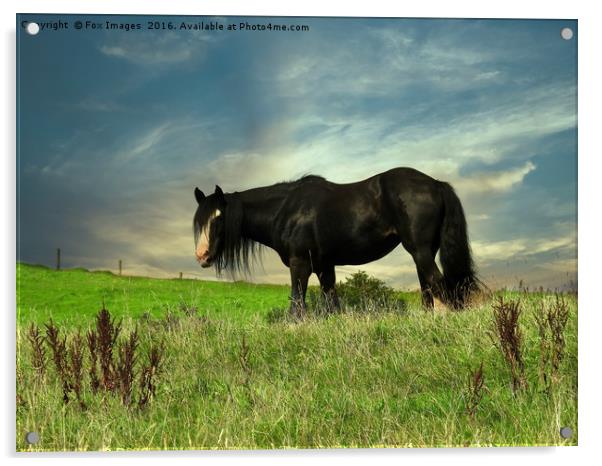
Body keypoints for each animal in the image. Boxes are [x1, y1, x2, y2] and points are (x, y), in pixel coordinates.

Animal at [195, 166, 476, 314]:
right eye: (199, 220)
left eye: (219, 217)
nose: (201, 255)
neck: (286, 208)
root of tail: (436, 183)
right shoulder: (324, 266)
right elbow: (332, 303)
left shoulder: (300, 264)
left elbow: (297, 304)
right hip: (425, 252)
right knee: (429, 289)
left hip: (420, 250)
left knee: (440, 287)